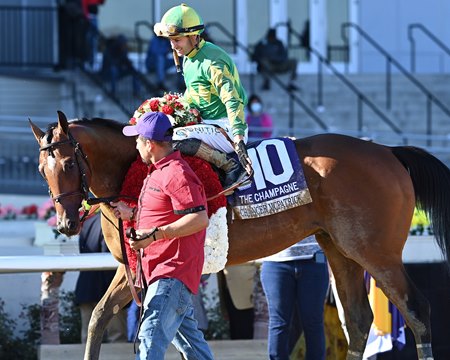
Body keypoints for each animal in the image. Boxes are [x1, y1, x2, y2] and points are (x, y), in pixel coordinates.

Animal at [29, 110, 450, 360]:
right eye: (41, 168)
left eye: (68, 164)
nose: (65, 224)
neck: (136, 168)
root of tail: (389, 152)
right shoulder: (133, 265)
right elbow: (100, 317)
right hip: (340, 248)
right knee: (360, 321)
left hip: (376, 251)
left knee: (417, 310)